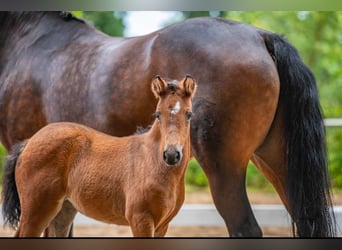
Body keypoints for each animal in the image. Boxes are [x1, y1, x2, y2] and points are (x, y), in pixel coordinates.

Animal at [1, 75, 196, 236]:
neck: (152, 162)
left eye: (189, 114)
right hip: (36, 211)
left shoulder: (162, 226)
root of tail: (29, 142)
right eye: (157, 114)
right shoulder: (141, 219)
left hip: (63, 210)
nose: (171, 155)